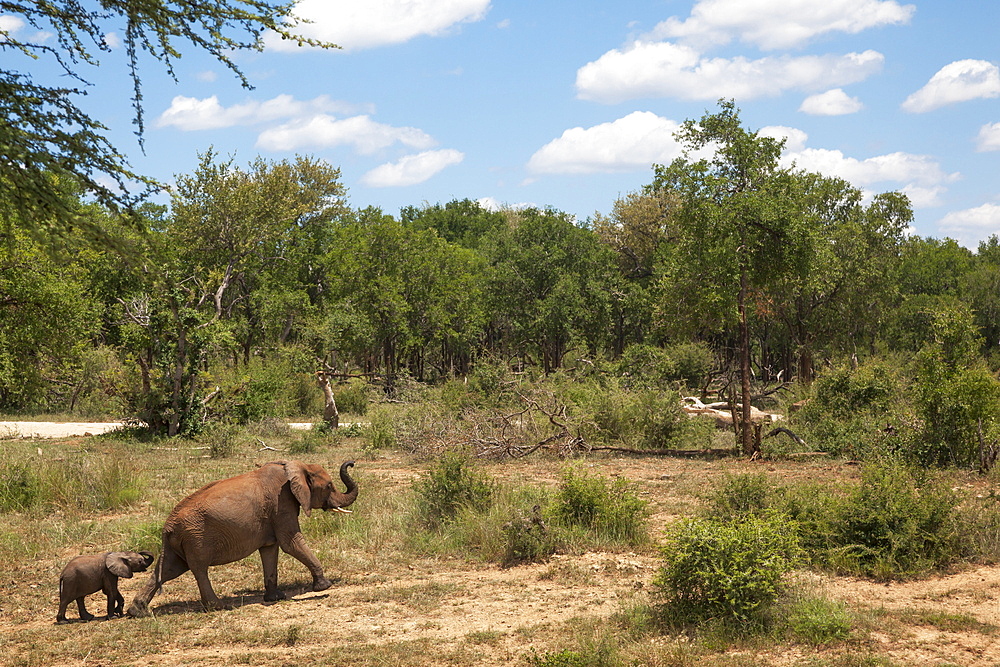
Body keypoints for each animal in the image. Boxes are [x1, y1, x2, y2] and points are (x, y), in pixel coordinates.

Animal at [127, 460, 358, 616]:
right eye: (329, 486)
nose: (351, 463)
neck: (296, 466)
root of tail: (167, 527)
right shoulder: (281, 503)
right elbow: (291, 543)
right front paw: (324, 586)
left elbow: (270, 549)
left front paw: (275, 598)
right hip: (195, 537)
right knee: (199, 568)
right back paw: (218, 607)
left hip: (181, 542)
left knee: (169, 569)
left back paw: (137, 611)